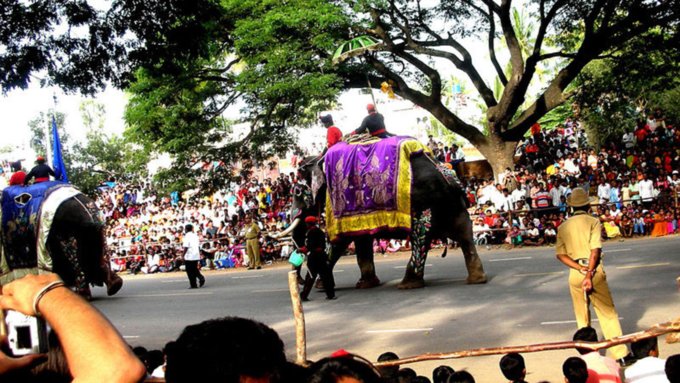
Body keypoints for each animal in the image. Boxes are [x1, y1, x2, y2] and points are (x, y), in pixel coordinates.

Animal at [274, 136, 486, 290]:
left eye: (297, 192)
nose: (299, 280)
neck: (318, 158)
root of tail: (445, 172)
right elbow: (361, 241)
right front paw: (366, 284)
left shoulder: (335, 202)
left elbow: (340, 241)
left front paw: (320, 284)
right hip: (452, 204)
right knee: (464, 233)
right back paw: (477, 279)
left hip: (423, 203)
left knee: (421, 238)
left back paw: (407, 285)